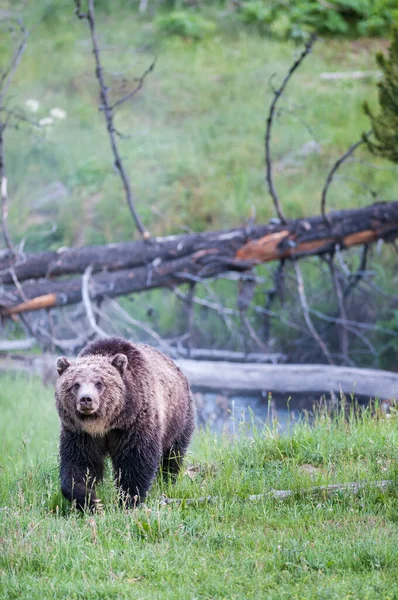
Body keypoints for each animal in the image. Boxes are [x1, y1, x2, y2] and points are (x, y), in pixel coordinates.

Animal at [55, 338, 195, 510]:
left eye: (99, 383)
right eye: (76, 384)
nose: (86, 399)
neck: (104, 424)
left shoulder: (134, 424)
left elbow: (136, 460)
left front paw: (128, 501)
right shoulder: (80, 433)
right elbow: (79, 464)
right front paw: (91, 500)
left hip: (179, 419)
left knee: (172, 456)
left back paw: (167, 482)